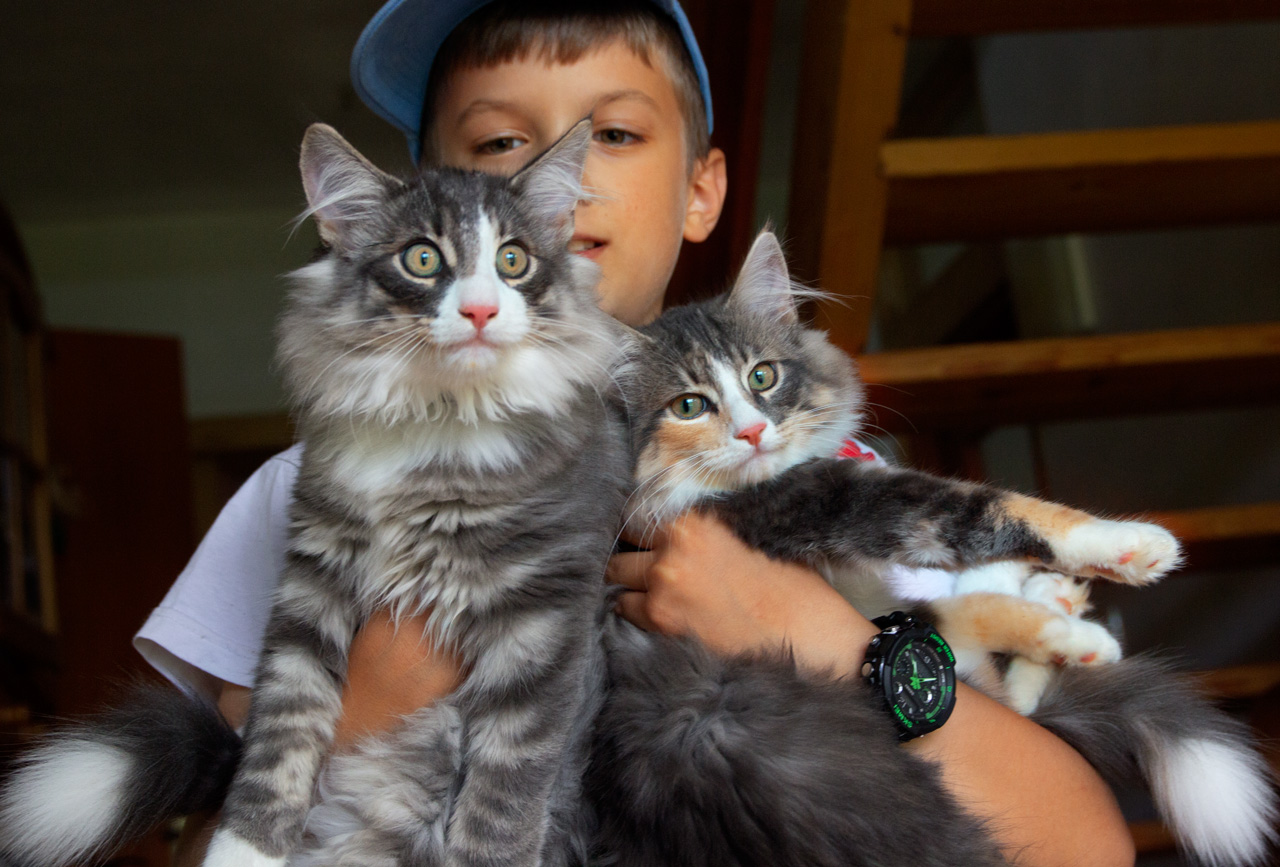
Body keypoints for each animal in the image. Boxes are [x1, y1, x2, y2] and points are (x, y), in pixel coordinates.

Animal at [0, 120, 631, 867]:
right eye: (423, 259)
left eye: (513, 261)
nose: (480, 309)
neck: (438, 421)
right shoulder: (312, 580)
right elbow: (280, 736)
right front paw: (240, 853)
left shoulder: (545, 615)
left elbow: (504, 791)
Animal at [586, 230, 1276, 867]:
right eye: (689, 406)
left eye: (763, 376)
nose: (753, 432)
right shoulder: (831, 506)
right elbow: (985, 511)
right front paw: (1127, 544)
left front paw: (1057, 596)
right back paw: (1075, 632)